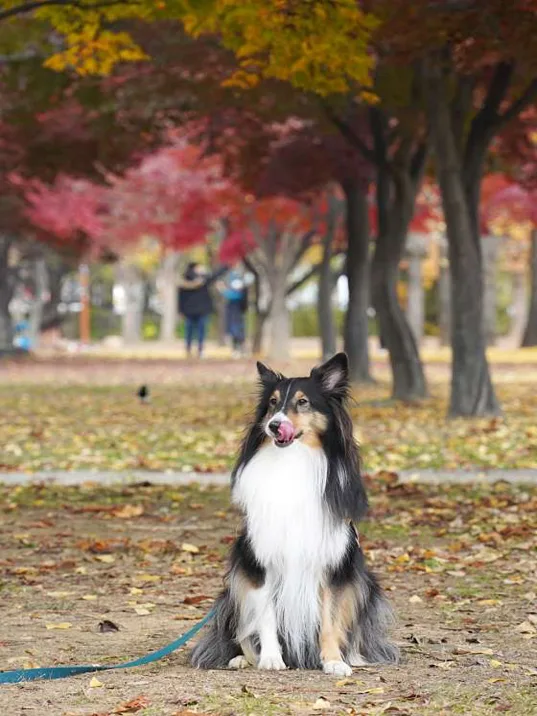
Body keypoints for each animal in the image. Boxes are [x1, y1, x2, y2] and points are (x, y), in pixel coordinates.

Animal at [191, 354, 396, 676]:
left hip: (367, 586)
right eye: (273, 403)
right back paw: (241, 658)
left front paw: (333, 661)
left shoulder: (334, 565)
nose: (274, 426)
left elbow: (331, 618)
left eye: (302, 402)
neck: (292, 461)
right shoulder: (259, 562)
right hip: (232, 589)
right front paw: (271, 658)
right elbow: (265, 615)